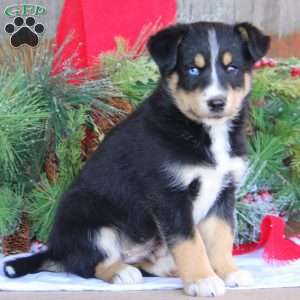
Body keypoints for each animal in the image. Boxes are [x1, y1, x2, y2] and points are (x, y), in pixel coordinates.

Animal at [2, 22, 270, 296]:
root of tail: (56, 251)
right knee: (89, 264)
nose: (217, 102)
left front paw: (228, 272)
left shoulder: (223, 192)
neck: (205, 131)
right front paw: (202, 279)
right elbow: (190, 243)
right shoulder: (170, 195)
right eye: (192, 69)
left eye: (232, 68)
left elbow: (221, 238)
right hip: (88, 217)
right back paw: (121, 272)